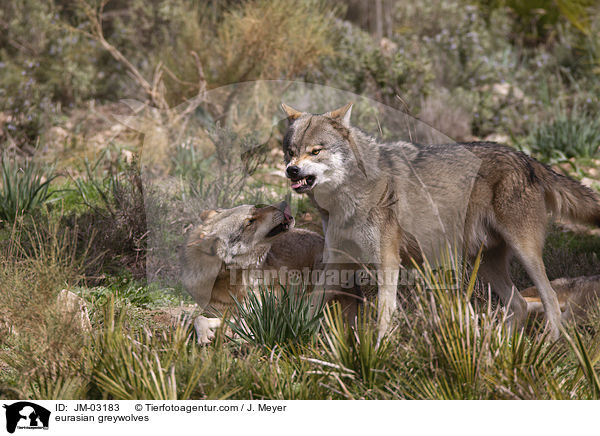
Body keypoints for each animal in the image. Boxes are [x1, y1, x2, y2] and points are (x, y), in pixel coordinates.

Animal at [180, 202, 324, 344]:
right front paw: (205, 336)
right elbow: (198, 319)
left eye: (255, 207)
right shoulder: (225, 314)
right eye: (250, 221)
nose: (284, 203)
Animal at [280, 103, 600, 340]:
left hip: (525, 254)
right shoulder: (337, 259)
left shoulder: (388, 261)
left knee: (550, 301)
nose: (291, 171)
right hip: (485, 262)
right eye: (291, 152)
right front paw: (294, 332)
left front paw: (379, 350)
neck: (346, 197)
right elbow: (312, 301)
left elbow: (384, 314)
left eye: (315, 151)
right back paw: (502, 348)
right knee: (519, 305)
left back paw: (544, 346)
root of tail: (525, 157)